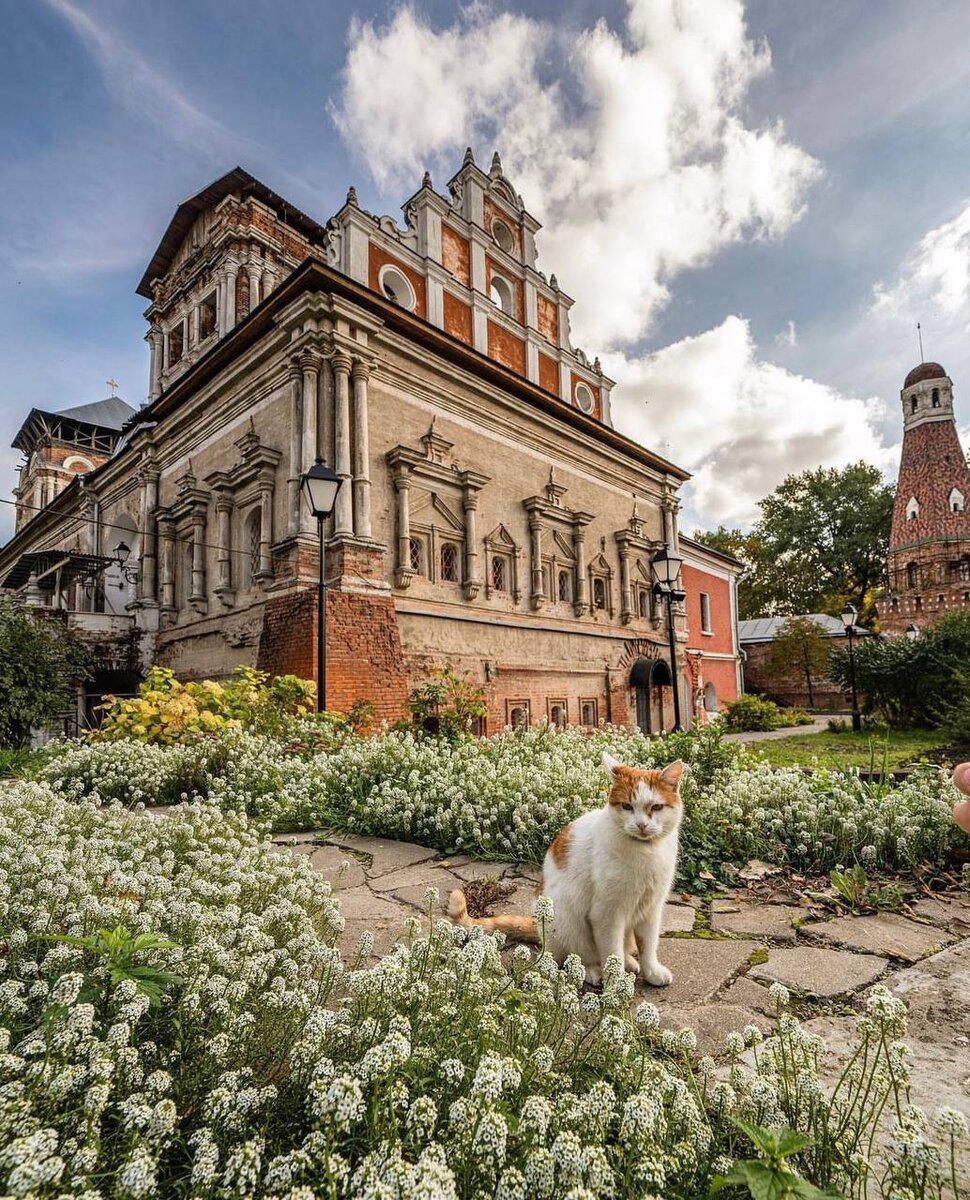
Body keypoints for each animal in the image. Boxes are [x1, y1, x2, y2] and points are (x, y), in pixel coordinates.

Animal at [446, 758, 681, 984]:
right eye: (627, 806)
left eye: (657, 807)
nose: (641, 825)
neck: (646, 852)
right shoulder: (607, 914)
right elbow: (611, 954)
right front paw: (616, 985)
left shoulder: (651, 908)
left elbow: (648, 946)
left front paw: (652, 972)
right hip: (567, 915)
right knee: (575, 957)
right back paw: (594, 971)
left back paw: (630, 962)